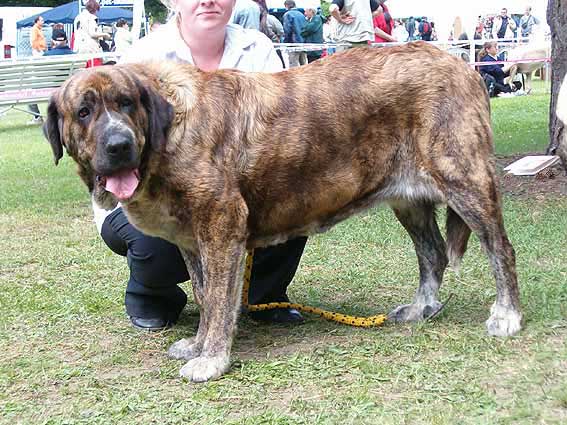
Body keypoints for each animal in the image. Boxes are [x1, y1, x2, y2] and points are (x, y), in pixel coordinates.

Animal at [43, 42, 524, 380]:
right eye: (83, 112)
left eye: (126, 104)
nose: (118, 145)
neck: (166, 133)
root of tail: (462, 65)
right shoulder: (194, 242)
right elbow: (204, 295)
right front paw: (198, 345)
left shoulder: (222, 227)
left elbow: (218, 301)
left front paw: (211, 359)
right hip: (409, 201)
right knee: (433, 253)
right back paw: (423, 308)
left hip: (465, 180)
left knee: (501, 249)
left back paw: (507, 315)